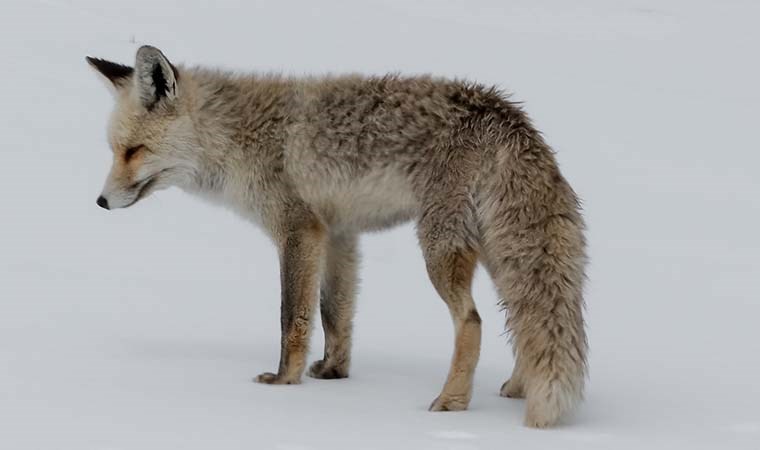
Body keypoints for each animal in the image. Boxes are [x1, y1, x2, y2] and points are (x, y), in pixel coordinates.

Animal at [87, 46, 588, 428]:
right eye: (115, 151)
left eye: (135, 151)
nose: (101, 202)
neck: (242, 138)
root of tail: (506, 113)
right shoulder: (339, 235)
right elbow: (335, 315)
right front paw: (333, 373)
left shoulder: (297, 229)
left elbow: (292, 318)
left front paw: (284, 383)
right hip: (497, 255)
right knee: (523, 322)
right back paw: (518, 388)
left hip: (439, 249)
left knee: (473, 322)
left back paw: (451, 402)